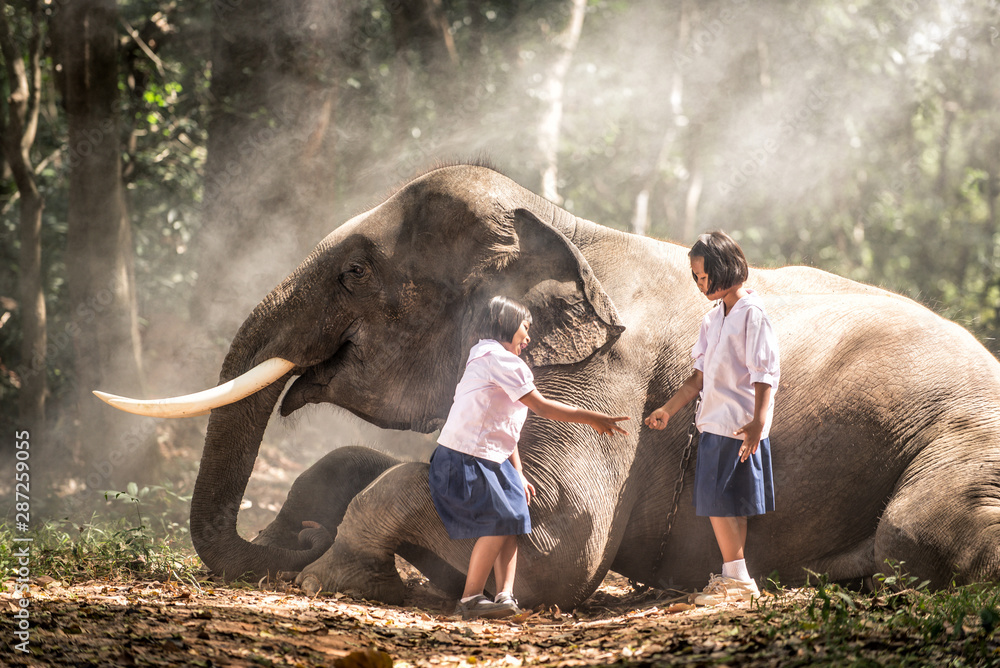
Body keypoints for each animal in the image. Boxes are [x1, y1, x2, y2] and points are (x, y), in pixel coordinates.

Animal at [96, 163, 1000, 609]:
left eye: (354, 272)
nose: (289, 542)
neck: (565, 226)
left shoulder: (610, 374)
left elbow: (563, 536)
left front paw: (335, 577)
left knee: (915, 534)